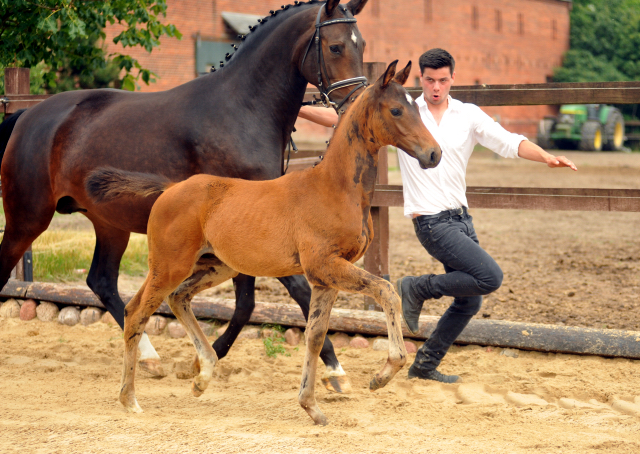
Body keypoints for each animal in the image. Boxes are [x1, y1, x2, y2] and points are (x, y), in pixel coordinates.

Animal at [0, 0, 368, 390]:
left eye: (361, 45)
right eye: (335, 47)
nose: (356, 103)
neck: (242, 111)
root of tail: (28, 115)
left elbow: (247, 303)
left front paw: (207, 357)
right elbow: (294, 291)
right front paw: (335, 368)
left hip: (109, 224)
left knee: (101, 281)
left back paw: (149, 357)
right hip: (28, 218)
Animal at [87, 60, 442, 426]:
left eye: (417, 107)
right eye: (397, 110)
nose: (434, 153)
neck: (335, 187)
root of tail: (169, 188)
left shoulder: (324, 278)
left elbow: (314, 336)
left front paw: (312, 406)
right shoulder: (325, 266)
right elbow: (386, 291)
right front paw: (382, 374)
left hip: (216, 267)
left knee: (176, 298)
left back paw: (202, 376)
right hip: (169, 265)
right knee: (136, 313)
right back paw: (130, 399)